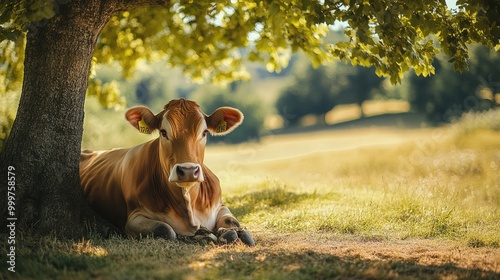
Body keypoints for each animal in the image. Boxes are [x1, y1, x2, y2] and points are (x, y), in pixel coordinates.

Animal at [81, 98, 256, 245]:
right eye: (163, 132)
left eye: (204, 132)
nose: (188, 170)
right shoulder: (133, 218)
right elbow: (165, 229)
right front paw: (200, 235)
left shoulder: (219, 205)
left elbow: (231, 221)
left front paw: (233, 232)